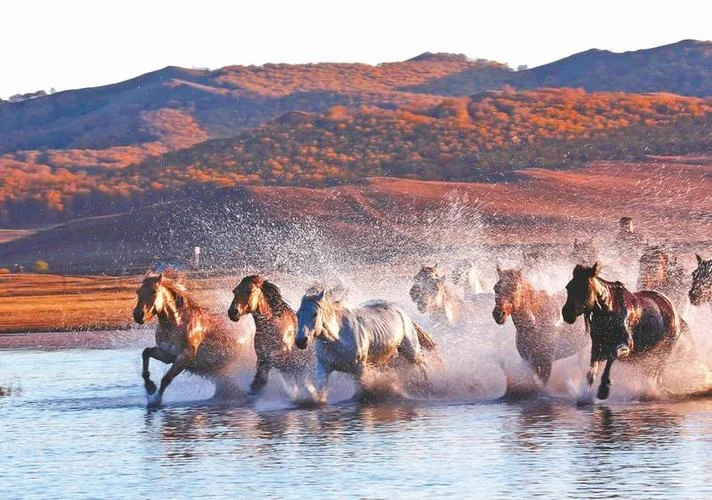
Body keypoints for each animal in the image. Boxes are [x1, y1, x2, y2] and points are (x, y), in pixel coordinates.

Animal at [133, 273, 248, 407]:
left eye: (153, 291)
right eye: (138, 291)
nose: (138, 315)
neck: (176, 325)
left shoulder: (185, 357)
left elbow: (166, 379)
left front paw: (156, 399)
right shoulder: (167, 355)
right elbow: (145, 353)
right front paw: (150, 387)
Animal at [295, 284, 438, 402]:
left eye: (315, 314)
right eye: (297, 314)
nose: (300, 341)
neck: (337, 339)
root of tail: (401, 311)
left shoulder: (360, 368)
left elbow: (362, 391)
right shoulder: (323, 367)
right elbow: (320, 393)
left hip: (411, 351)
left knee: (421, 365)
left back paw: (427, 387)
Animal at [562, 262, 684, 400]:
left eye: (585, 288)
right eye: (569, 287)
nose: (567, 313)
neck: (609, 312)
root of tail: (675, 313)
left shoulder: (627, 346)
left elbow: (612, 356)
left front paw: (604, 388)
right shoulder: (598, 347)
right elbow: (591, 371)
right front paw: (586, 394)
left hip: (664, 352)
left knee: (657, 374)